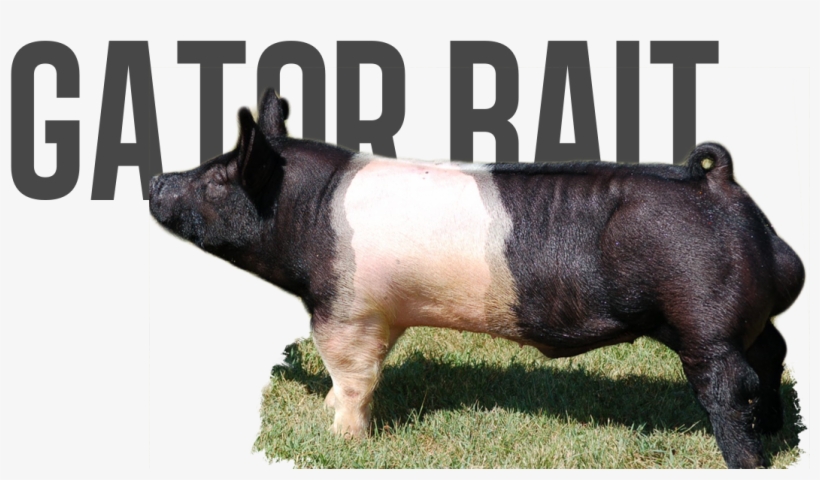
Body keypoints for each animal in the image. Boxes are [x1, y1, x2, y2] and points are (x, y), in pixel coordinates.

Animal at [149, 89, 804, 469]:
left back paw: (747, 459)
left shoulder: (349, 308)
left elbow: (353, 376)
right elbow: (346, 379)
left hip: (704, 319)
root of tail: (717, 182)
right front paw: (327, 415)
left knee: (734, 382)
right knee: (773, 349)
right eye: (208, 166)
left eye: (218, 179)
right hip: (740, 316)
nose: (155, 179)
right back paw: (776, 430)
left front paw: (341, 443)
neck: (308, 213)